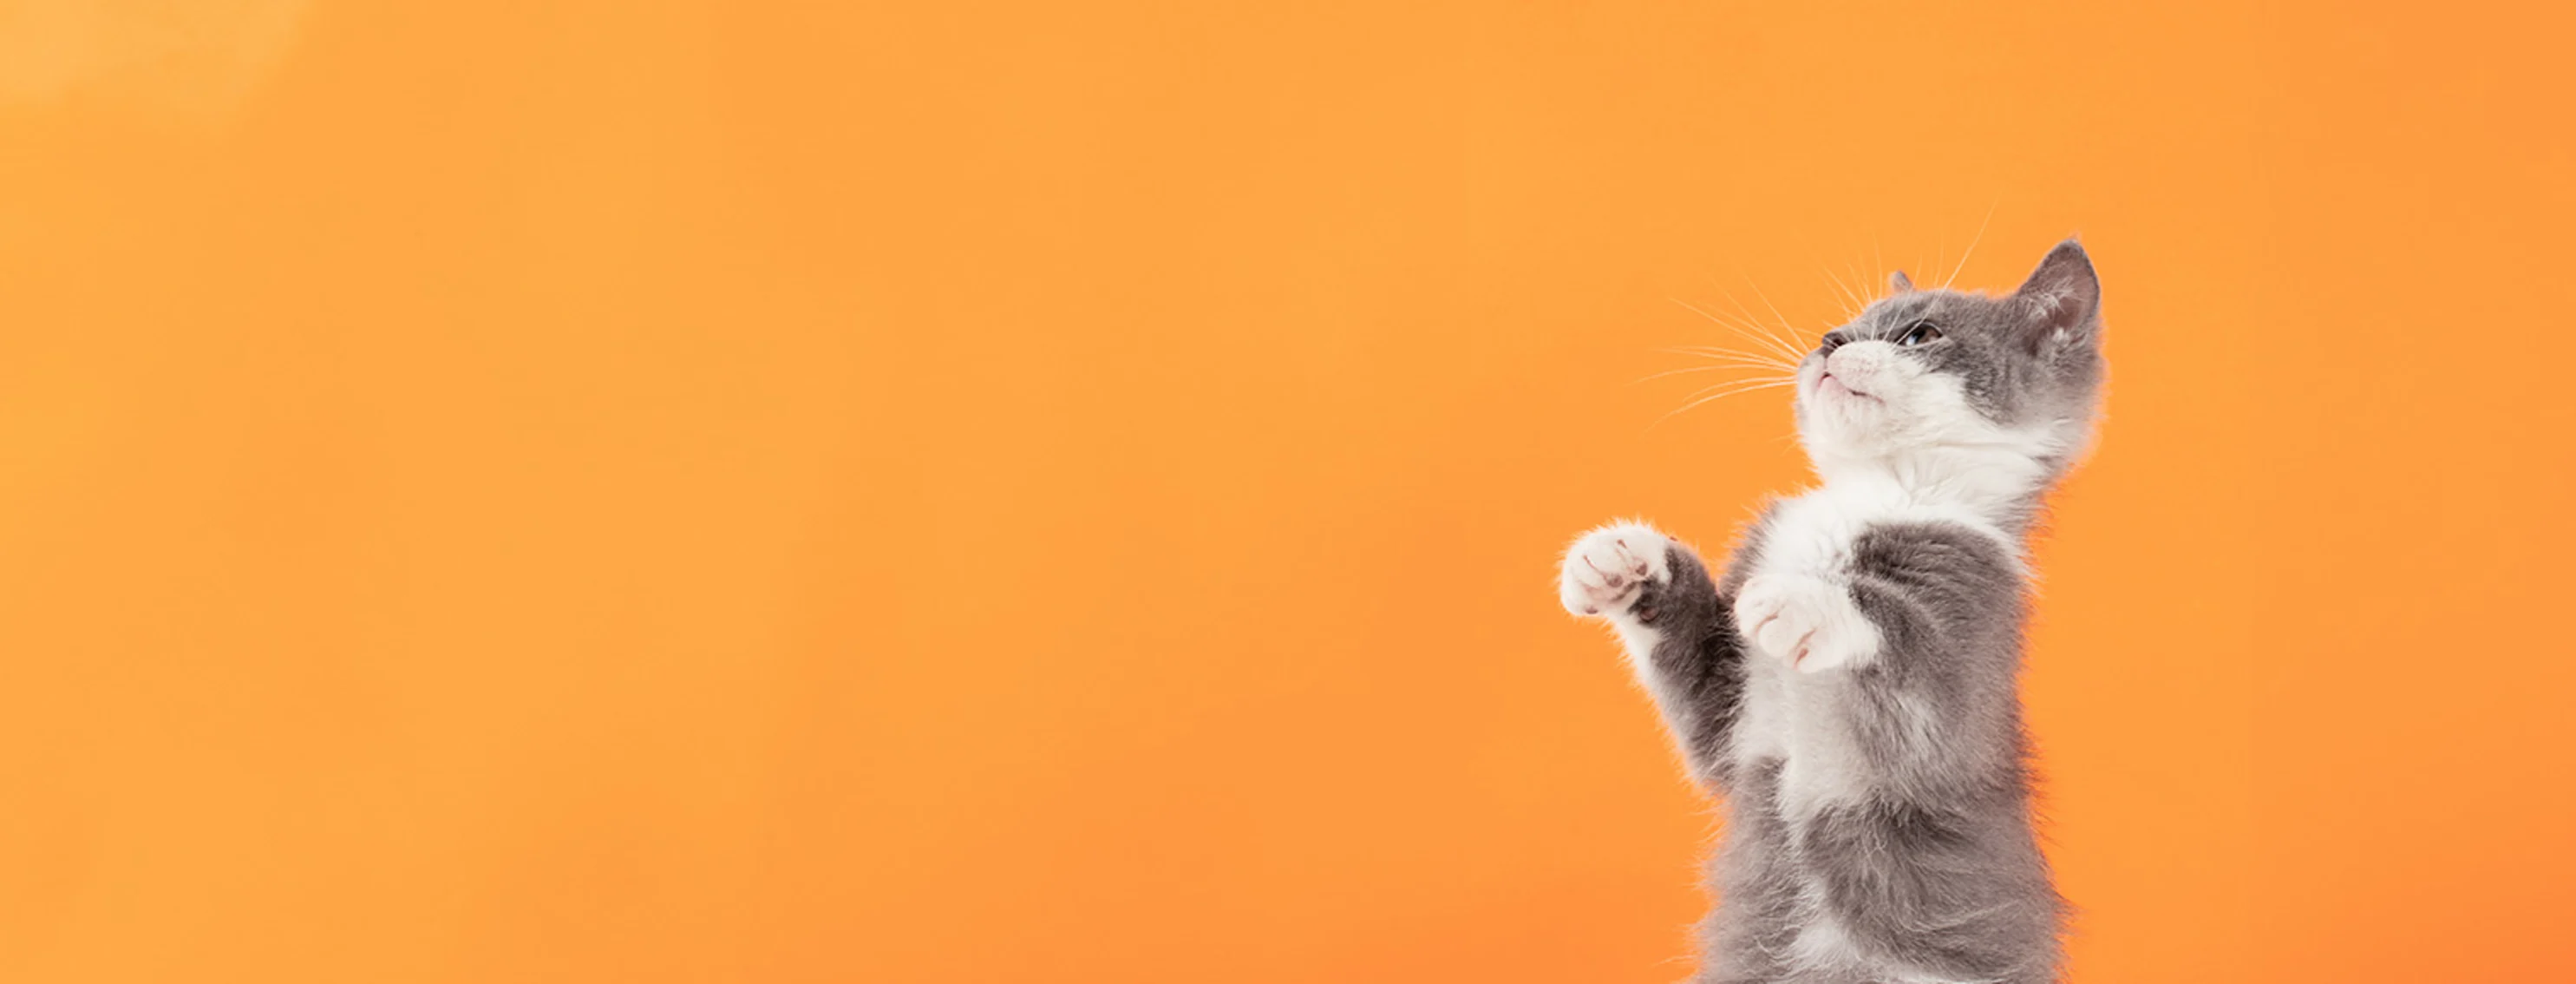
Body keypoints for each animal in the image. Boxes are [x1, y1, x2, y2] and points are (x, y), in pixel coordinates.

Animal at [1555, 240, 2102, 984]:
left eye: (1920, 335)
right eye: (1840, 328)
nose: (1830, 342)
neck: (1878, 487)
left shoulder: (1968, 638)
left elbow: (1904, 642)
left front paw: (1801, 600)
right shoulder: (1732, 735)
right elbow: (1700, 689)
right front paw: (1623, 559)